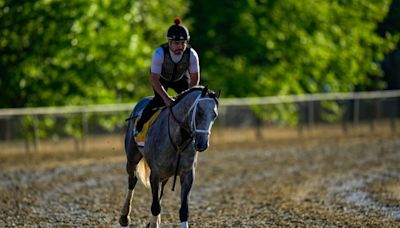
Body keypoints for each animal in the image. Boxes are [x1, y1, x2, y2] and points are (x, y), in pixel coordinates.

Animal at [119, 86, 220, 228]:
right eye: (199, 112)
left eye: (214, 115)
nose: (202, 144)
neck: (179, 139)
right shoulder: (155, 173)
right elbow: (155, 207)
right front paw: (153, 223)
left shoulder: (187, 174)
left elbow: (183, 210)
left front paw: (155, 222)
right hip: (132, 158)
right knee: (132, 181)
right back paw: (124, 217)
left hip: (165, 173)